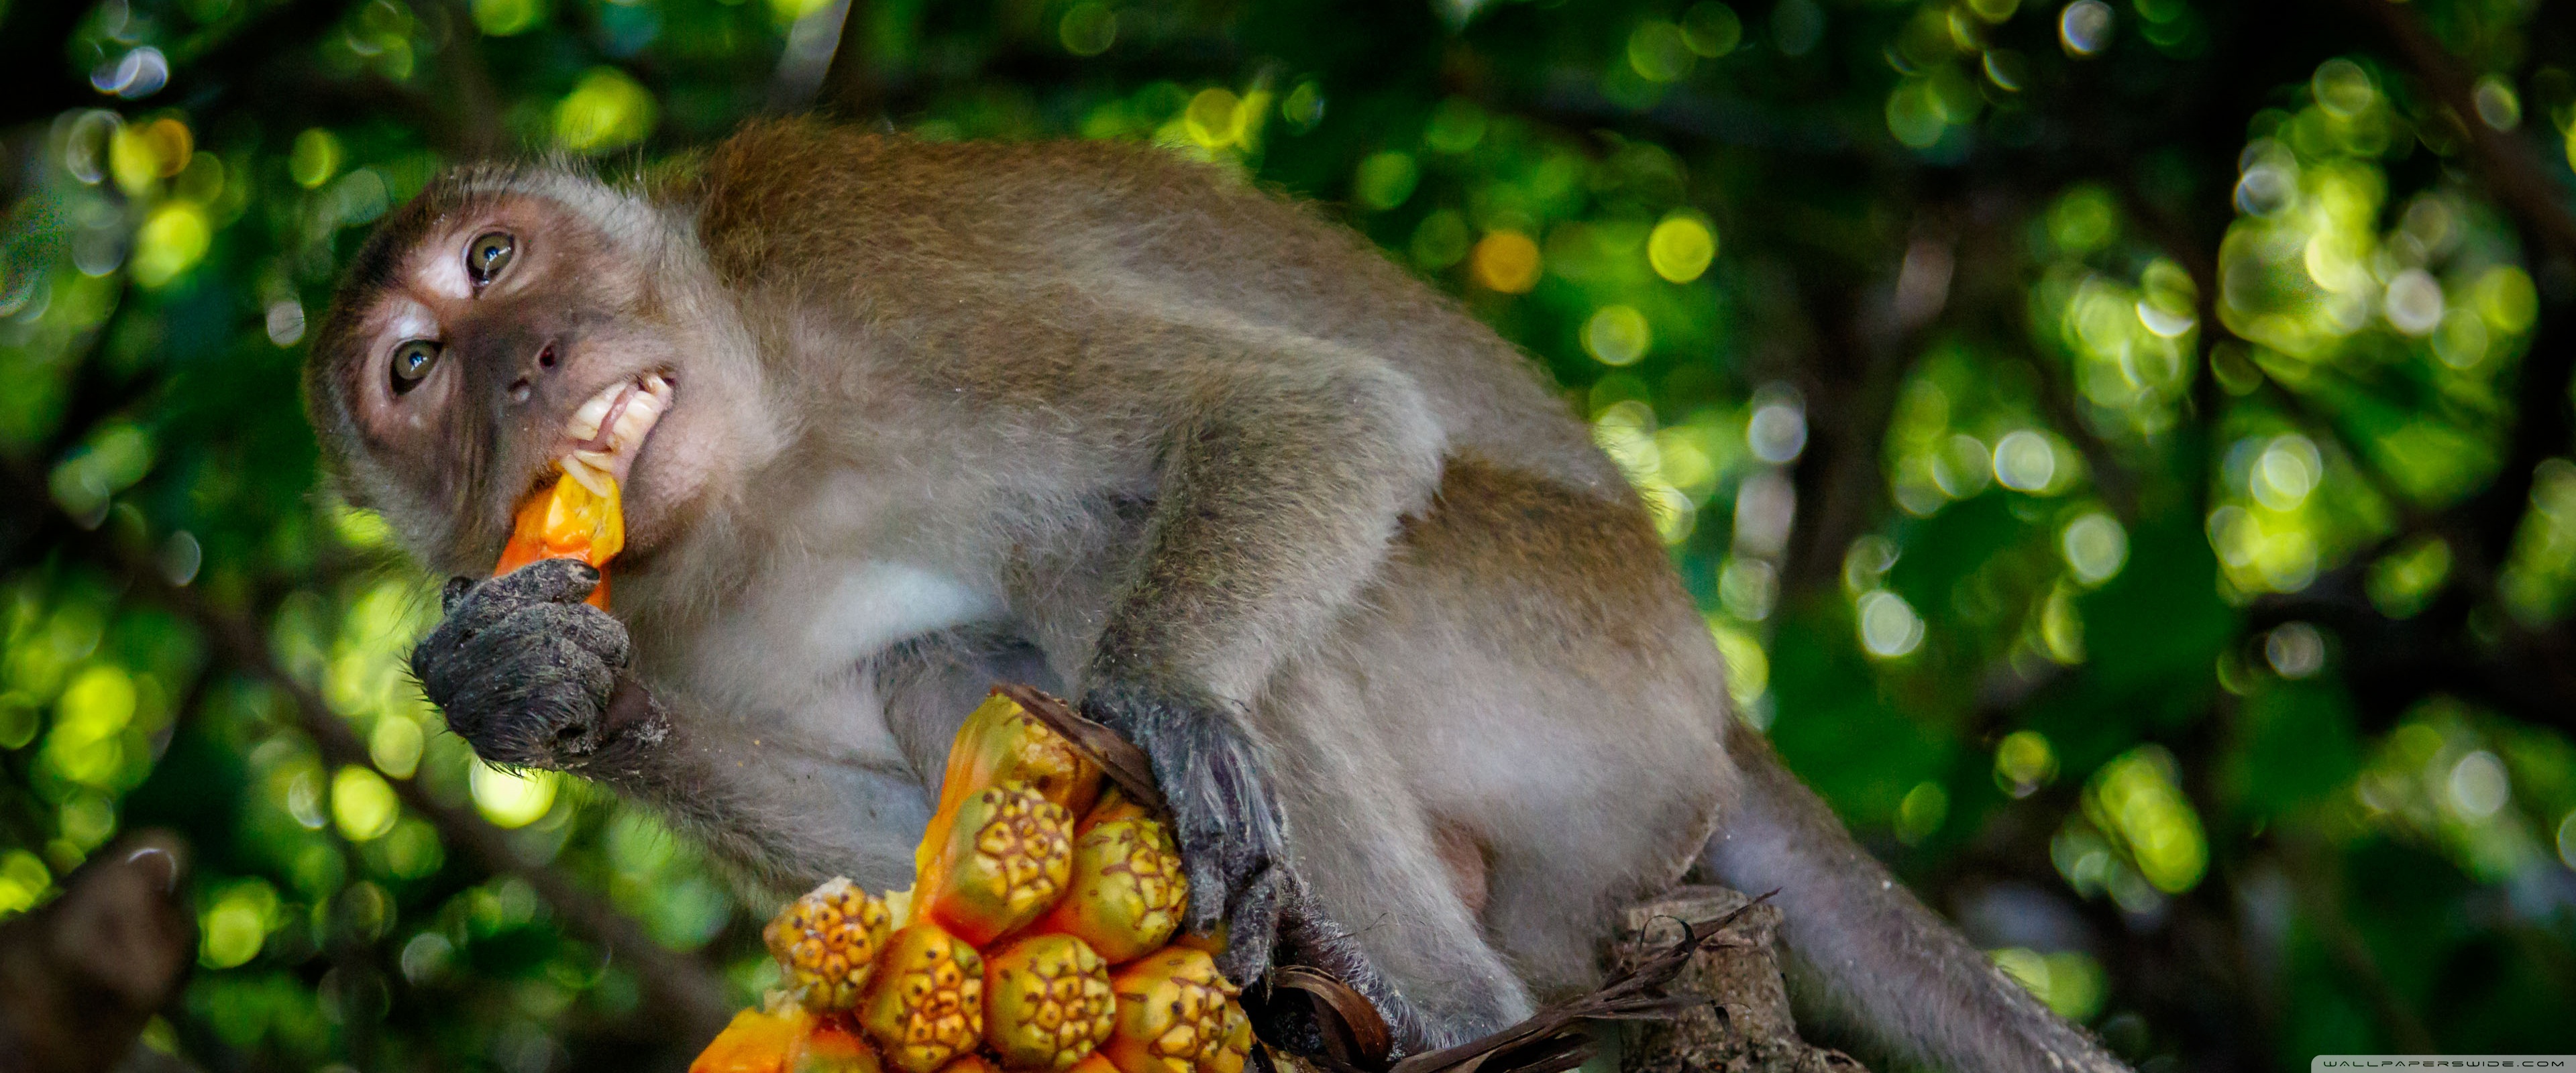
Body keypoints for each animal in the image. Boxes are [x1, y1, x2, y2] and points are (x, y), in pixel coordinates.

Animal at [304, 118, 2128, 1073]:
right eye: (415, 371)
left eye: (493, 264)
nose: (529, 360)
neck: (761, 471)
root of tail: (1720, 707)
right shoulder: (697, 615)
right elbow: (909, 843)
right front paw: (547, 688)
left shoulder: (873, 298)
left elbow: (1310, 413)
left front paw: (1173, 704)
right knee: (946, 651)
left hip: (1576, 651)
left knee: (1118, 545)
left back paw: (1458, 1022)